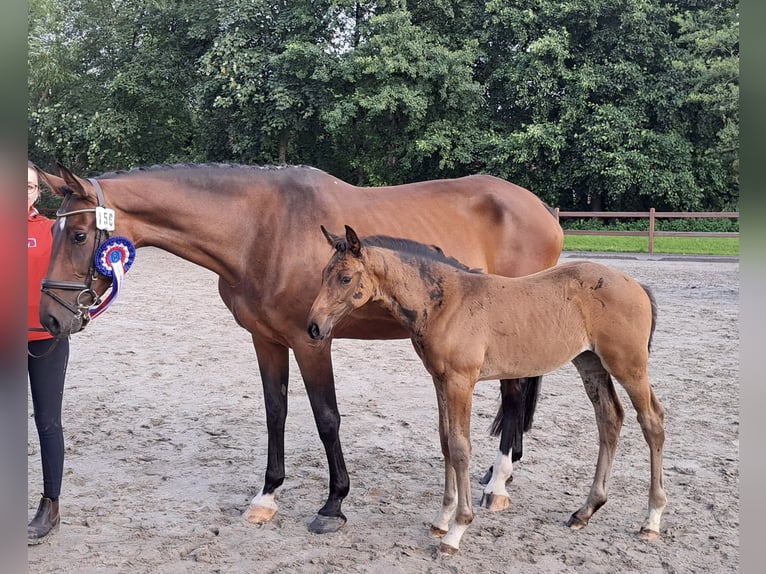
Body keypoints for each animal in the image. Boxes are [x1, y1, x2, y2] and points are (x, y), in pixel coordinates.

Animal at [35, 162, 563, 534]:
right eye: (53, 231)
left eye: (78, 234)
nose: (51, 318)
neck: (260, 230)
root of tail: (543, 211)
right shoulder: (266, 340)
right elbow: (276, 411)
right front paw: (266, 496)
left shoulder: (312, 341)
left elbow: (326, 418)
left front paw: (333, 504)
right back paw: (498, 476)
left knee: (515, 396)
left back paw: (498, 484)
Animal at [307, 225, 666, 554]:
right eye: (323, 274)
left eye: (346, 278)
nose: (313, 327)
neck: (445, 302)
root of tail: (637, 285)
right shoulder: (440, 380)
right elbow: (445, 443)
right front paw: (441, 520)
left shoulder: (461, 381)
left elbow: (460, 448)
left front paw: (457, 530)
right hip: (590, 363)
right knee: (609, 419)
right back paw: (585, 510)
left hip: (628, 365)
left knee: (652, 422)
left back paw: (651, 520)